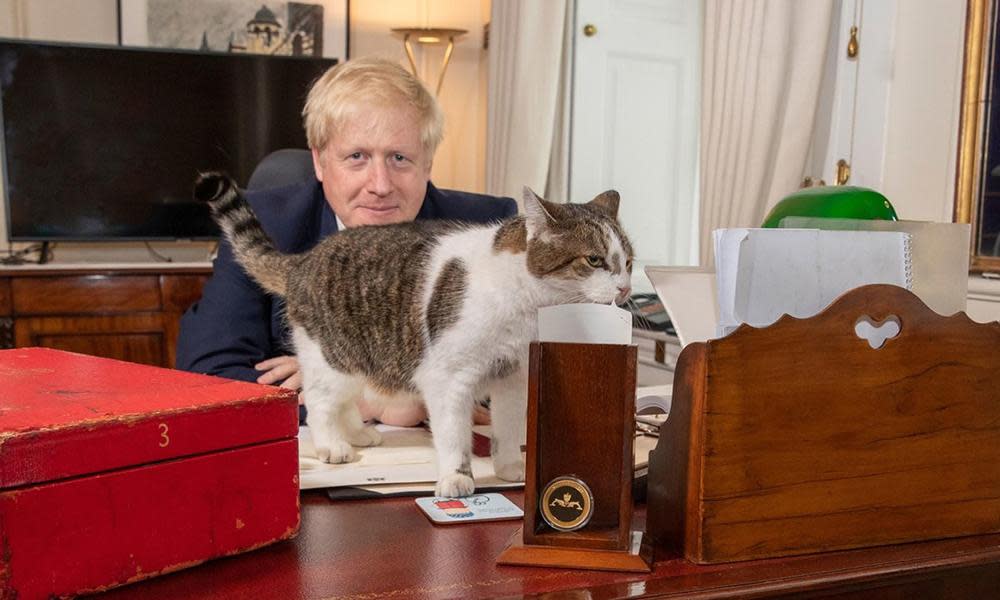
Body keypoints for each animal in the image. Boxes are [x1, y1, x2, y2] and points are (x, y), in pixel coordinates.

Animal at [195, 175, 632, 496]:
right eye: (594, 260)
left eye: (628, 261)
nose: (626, 289)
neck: (527, 307)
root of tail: (304, 259)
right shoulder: (448, 380)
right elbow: (454, 435)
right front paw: (457, 478)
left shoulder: (512, 377)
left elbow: (507, 429)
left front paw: (510, 469)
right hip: (333, 357)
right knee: (317, 401)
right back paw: (333, 446)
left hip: (358, 360)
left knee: (345, 402)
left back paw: (359, 434)